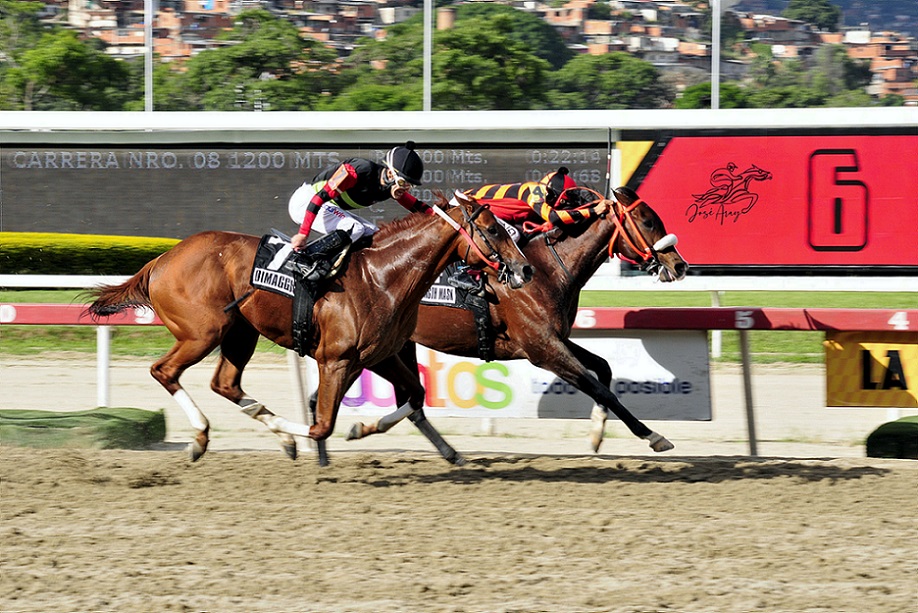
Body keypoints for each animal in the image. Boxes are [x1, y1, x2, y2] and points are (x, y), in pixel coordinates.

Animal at [85, 193, 532, 463]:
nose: (525, 269)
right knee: (165, 371)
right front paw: (312, 438)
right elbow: (321, 423)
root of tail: (161, 260)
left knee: (225, 383)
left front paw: (361, 427)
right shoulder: (335, 359)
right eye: (494, 229)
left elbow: (416, 395)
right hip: (202, 332)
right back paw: (201, 437)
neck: (383, 276)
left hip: (240, 333)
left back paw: (265, 433)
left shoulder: (380, 355)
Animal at [344, 186, 688, 457]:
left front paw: (596, 432)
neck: (548, 270)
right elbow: (600, 389)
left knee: (411, 402)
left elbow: (603, 368)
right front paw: (653, 436)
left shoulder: (555, 339)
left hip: (400, 344)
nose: (680, 265)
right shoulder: (542, 349)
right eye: (648, 221)